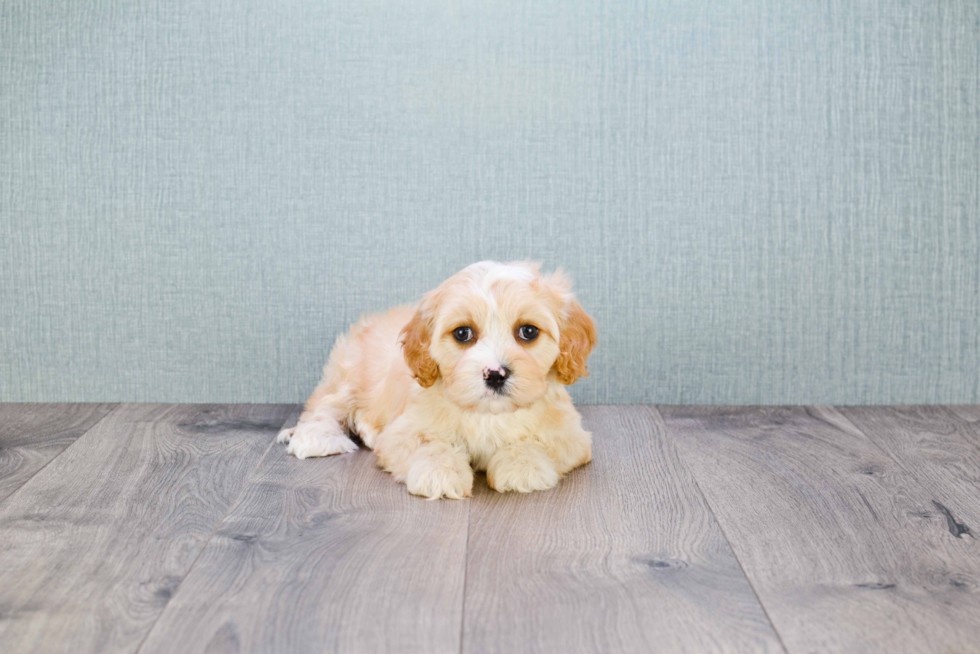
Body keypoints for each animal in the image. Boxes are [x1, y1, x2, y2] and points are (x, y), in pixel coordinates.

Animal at [278, 258, 596, 500]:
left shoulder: (571, 435)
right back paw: (318, 438)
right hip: (349, 372)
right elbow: (431, 445)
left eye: (528, 331)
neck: (488, 414)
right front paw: (440, 474)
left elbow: (536, 442)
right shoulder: (403, 432)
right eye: (463, 333)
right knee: (325, 406)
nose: (495, 374)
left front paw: (521, 466)